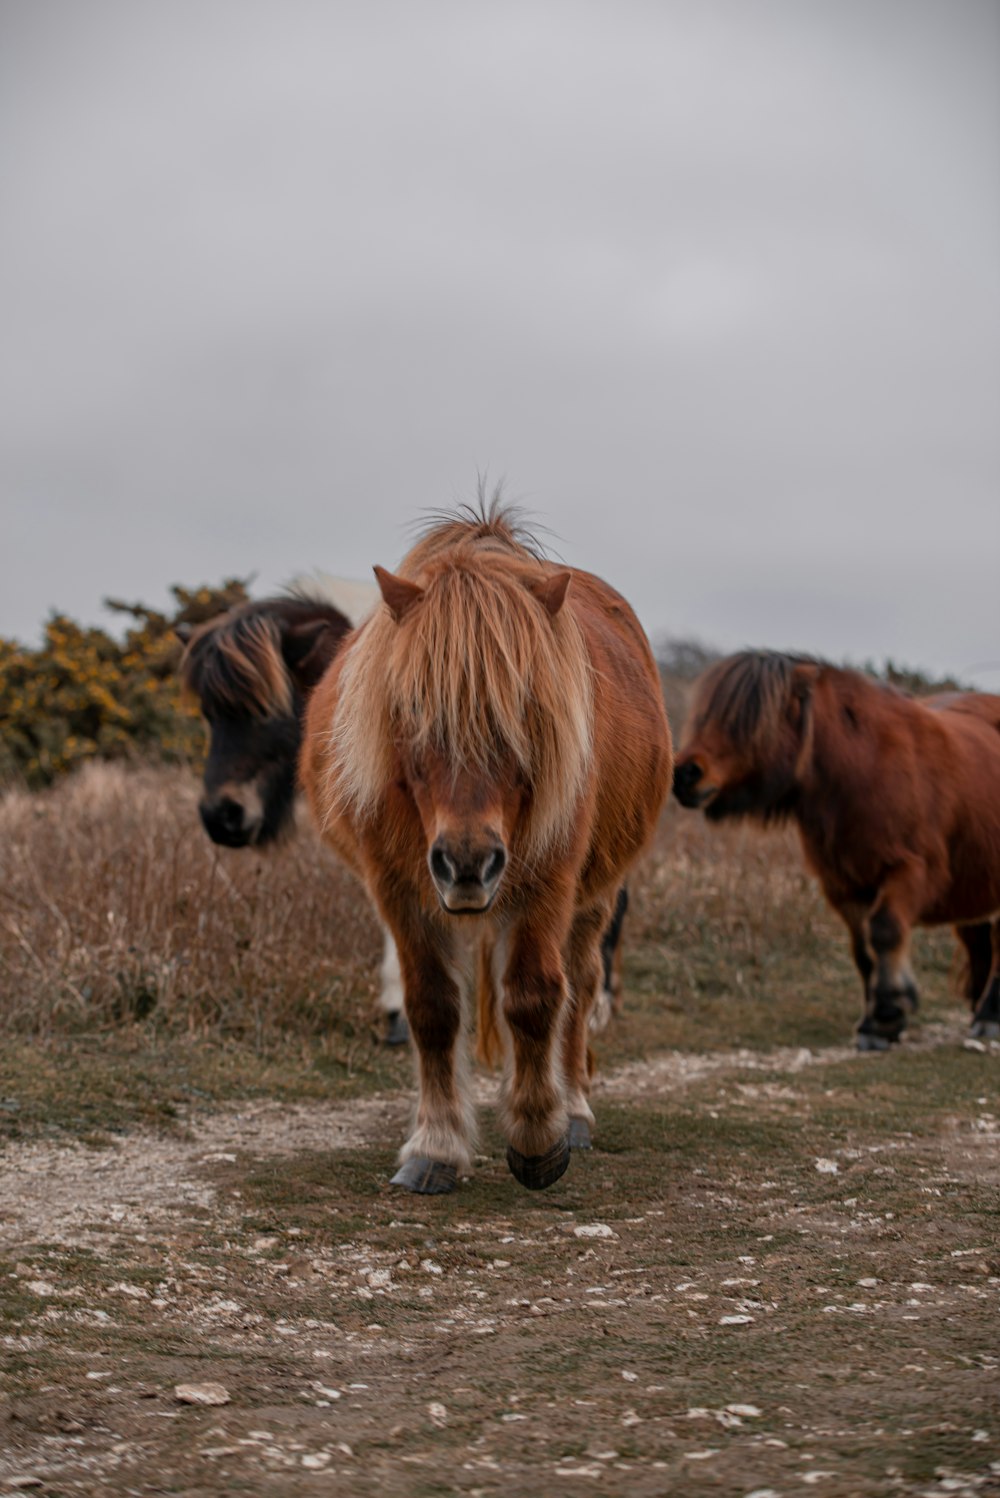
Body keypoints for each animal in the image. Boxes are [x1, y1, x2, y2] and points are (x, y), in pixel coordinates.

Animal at [299, 503, 670, 1192]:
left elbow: (535, 997)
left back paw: (574, 1110)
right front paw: (436, 1146)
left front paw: (538, 1136)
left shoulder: (548, 882)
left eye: (527, 709)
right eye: (411, 708)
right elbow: (432, 1008)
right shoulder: (399, 890)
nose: (467, 864)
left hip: (591, 898)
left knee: (579, 986)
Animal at [670, 650, 999, 1048]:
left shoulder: (911, 871)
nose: (685, 774)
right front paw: (875, 1020)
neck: (865, 768)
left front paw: (887, 1015)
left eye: (745, 721)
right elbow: (863, 951)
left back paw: (990, 1016)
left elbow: (885, 931)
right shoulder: (845, 886)